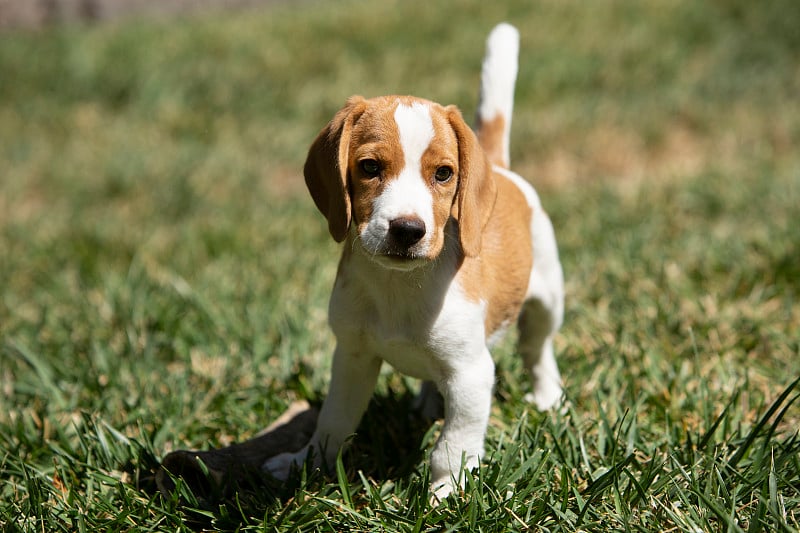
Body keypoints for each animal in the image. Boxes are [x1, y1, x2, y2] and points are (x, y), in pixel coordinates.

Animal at [266, 23, 564, 498]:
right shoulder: (351, 358)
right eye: (369, 167)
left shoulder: (471, 374)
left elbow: (452, 445)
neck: (398, 286)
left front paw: (443, 493)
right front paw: (304, 463)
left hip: (546, 301)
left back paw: (547, 396)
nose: (407, 230)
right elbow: (332, 423)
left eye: (443, 174)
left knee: (537, 349)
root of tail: (499, 168)